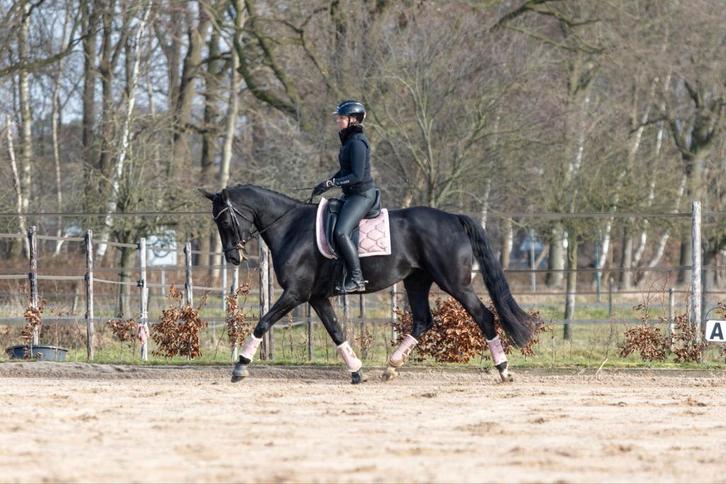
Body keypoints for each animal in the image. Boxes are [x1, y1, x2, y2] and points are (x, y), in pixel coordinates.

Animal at [200, 184, 536, 384]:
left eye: (225, 220)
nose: (233, 257)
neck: (291, 227)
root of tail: (453, 218)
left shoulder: (295, 294)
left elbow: (263, 322)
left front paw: (240, 365)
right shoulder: (316, 297)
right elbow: (336, 331)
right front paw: (356, 370)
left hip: (455, 283)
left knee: (484, 316)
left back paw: (504, 369)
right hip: (416, 281)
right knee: (422, 321)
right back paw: (391, 366)